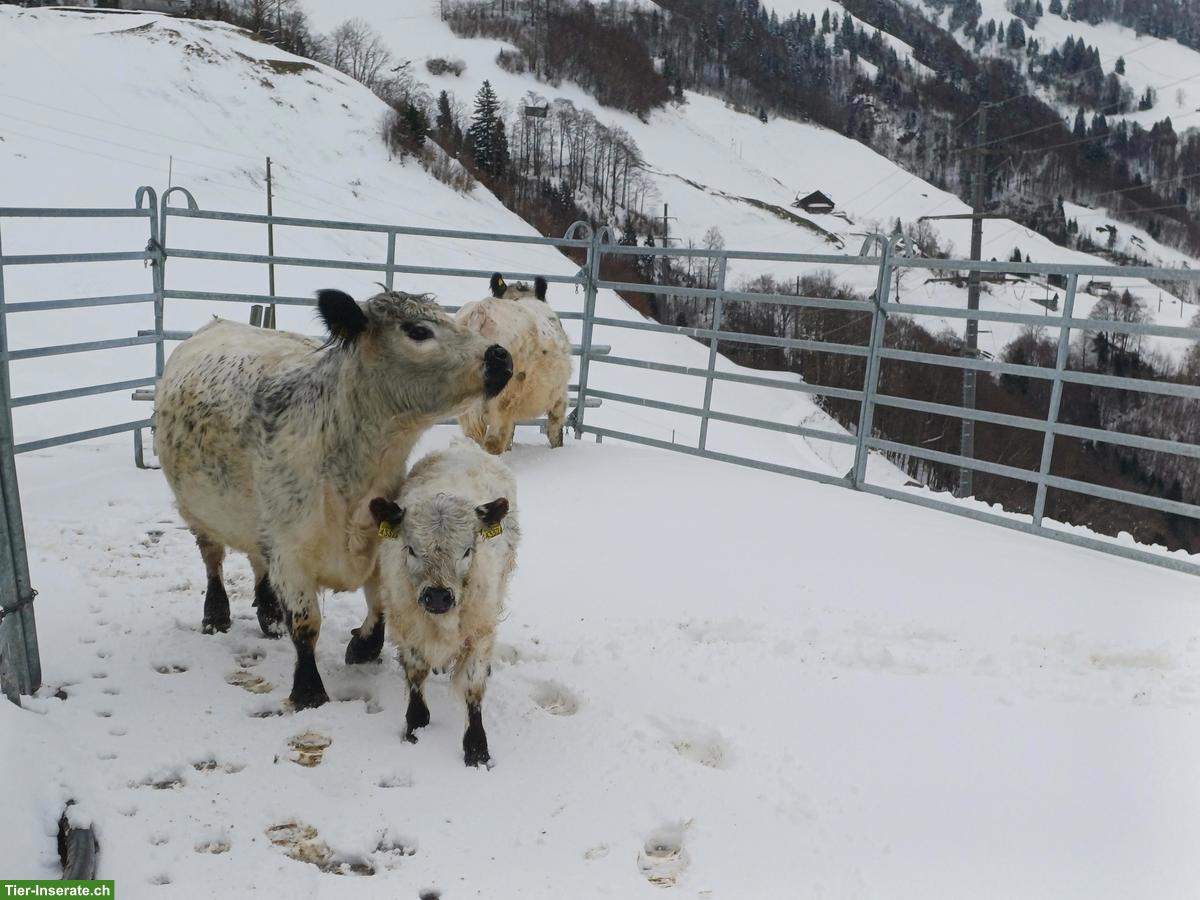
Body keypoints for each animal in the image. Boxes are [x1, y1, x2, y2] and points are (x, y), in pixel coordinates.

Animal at [154, 288, 512, 709]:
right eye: (418, 330)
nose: (501, 354)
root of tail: (218, 323)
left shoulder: (379, 538)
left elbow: (379, 602)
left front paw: (364, 646)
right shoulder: (291, 553)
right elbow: (306, 624)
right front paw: (309, 690)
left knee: (258, 562)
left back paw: (269, 616)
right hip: (197, 512)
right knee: (213, 560)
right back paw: (216, 615)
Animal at [370, 441, 519, 766]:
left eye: (467, 551)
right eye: (411, 549)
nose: (438, 596)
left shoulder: (480, 632)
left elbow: (473, 686)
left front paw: (476, 748)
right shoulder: (407, 628)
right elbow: (416, 673)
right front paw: (416, 724)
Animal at [456, 273, 573, 453]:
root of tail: (480, 310)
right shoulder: (560, 393)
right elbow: (555, 430)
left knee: (474, 436)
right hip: (504, 397)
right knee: (494, 441)